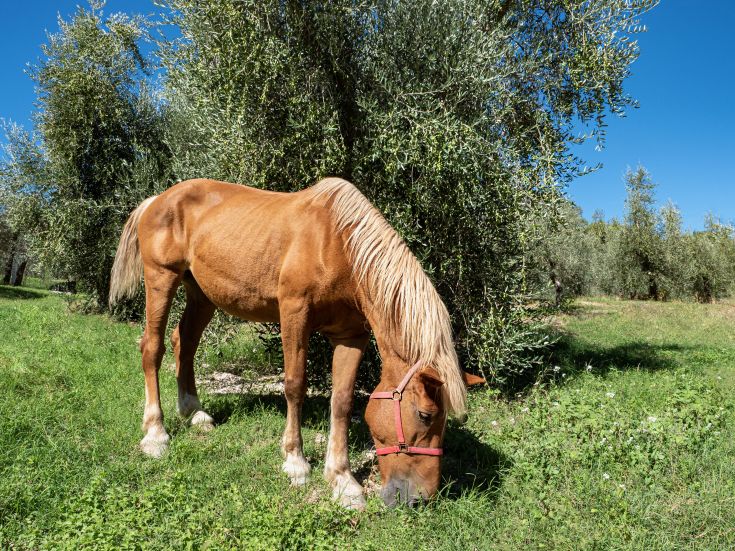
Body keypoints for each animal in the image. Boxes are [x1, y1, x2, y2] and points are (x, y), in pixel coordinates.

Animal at [109, 177, 483, 509]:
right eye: (424, 414)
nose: (420, 497)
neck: (338, 245)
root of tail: (156, 200)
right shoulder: (293, 314)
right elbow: (294, 385)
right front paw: (296, 462)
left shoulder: (351, 336)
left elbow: (342, 401)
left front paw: (343, 480)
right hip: (161, 278)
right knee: (153, 348)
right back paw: (155, 433)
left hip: (201, 295)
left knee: (184, 342)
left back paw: (194, 411)